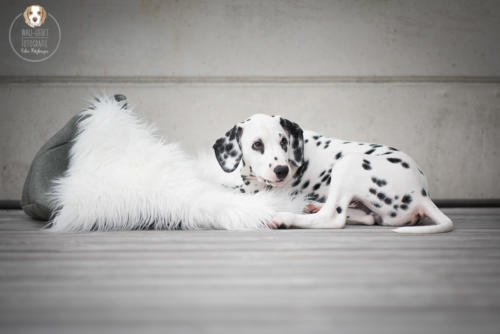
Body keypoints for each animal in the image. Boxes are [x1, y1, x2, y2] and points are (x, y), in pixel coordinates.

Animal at [213, 113, 456, 234]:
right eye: (257, 145)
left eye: (283, 141)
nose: (282, 170)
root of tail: (422, 195)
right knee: (367, 217)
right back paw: (313, 206)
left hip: (348, 163)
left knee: (333, 218)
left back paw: (285, 218)